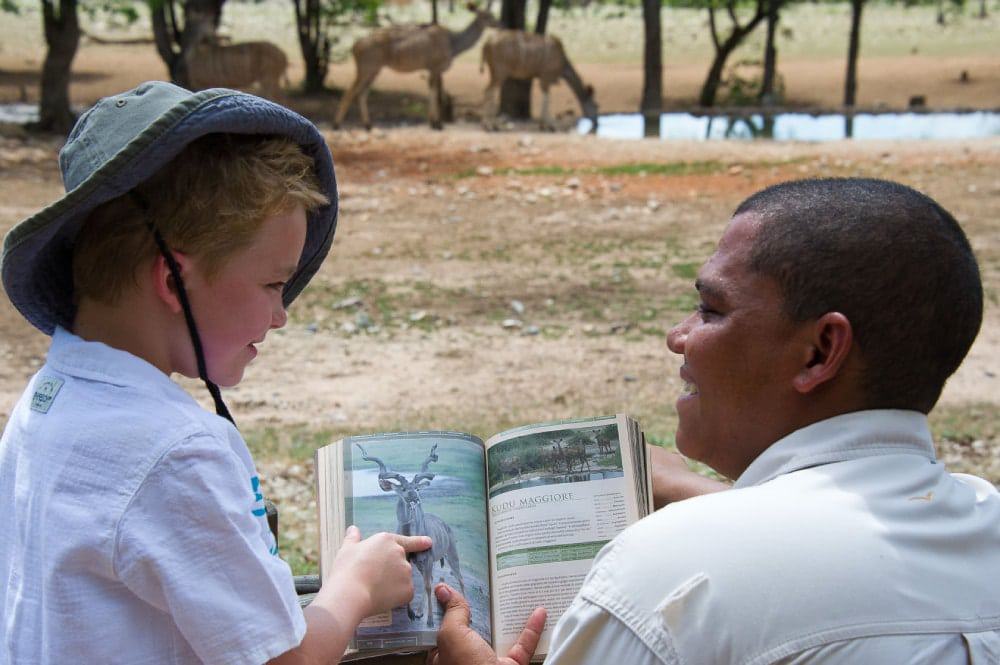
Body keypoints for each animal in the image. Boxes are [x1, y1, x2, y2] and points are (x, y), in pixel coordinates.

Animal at [336, 2, 500, 130]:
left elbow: (431, 91)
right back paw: (337, 124)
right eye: (487, 16)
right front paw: (437, 124)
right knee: (350, 91)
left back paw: (368, 125)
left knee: (362, 93)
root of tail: (355, 46)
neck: (453, 42)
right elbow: (434, 91)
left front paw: (432, 122)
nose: (500, 23)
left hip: (375, 70)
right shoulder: (435, 67)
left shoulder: (431, 69)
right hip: (366, 68)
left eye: (491, 15)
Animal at [358, 444, 466, 624]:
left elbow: (428, 586)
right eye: (403, 489)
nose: (415, 498)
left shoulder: (428, 559)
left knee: (459, 579)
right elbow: (414, 587)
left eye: (416, 488)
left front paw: (430, 621)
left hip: (451, 555)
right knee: (430, 579)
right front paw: (412, 614)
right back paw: (419, 612)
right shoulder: (410, 561)